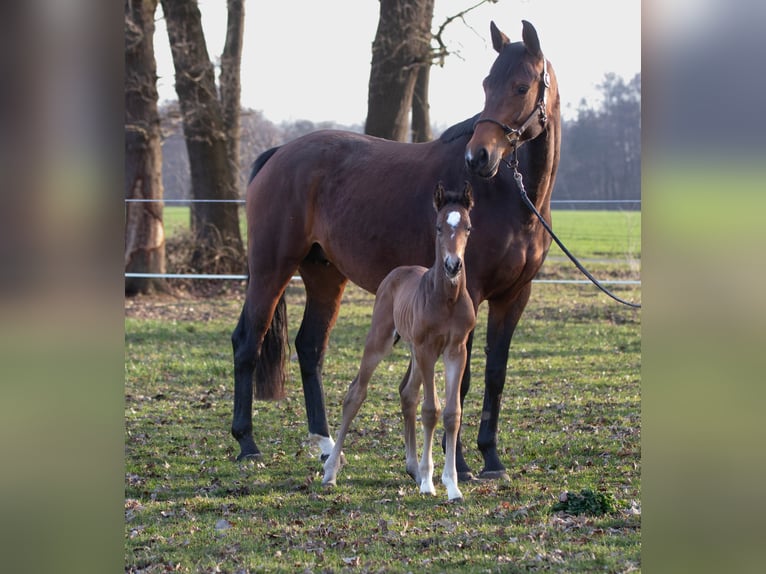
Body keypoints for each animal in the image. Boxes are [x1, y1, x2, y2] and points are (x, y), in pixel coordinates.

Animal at [322, 182, 476, 501]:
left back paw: (413, 469)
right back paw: (330, 472)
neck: (447, 300)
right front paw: (430, 482)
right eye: (439, 227)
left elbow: (452, 413)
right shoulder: (428, 349)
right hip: (382, 340)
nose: (453, 265)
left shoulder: (456, 350)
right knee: (355, 393)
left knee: (407, 394)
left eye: (468, 227)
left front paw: (452, 485)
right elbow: (431, 410)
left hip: (414, 351)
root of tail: (397, 271)